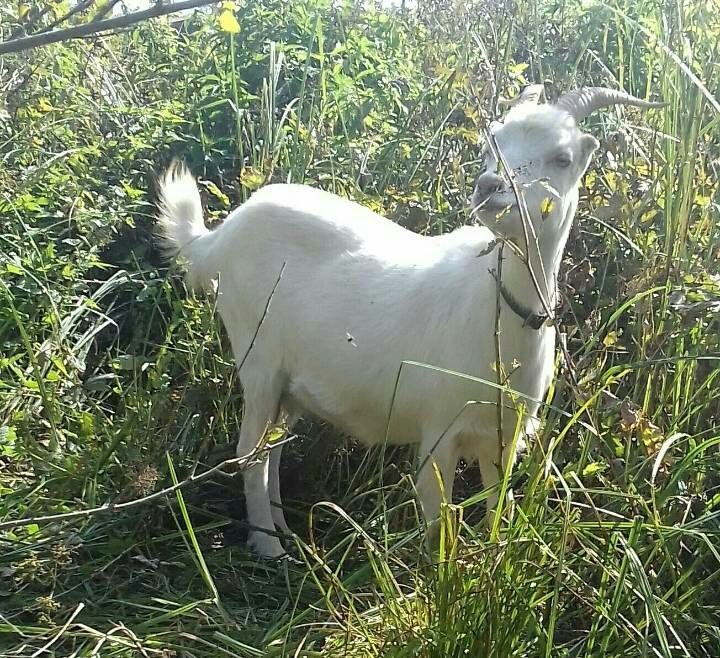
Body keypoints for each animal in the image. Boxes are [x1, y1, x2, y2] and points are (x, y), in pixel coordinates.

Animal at [157, 85, 665, 558]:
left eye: (562, 157)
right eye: (491, 144)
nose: (489, 186)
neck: (499, 312)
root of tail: (217, 239)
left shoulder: (502, 438)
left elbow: (497, 508)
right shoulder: (438, 430)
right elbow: (439, 524)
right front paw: (440, 583)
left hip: (290, 384)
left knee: (273, 449)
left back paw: (282, 529)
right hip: (257, 356)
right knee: (249, 452)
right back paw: (269, 547)